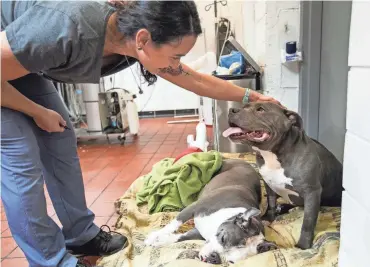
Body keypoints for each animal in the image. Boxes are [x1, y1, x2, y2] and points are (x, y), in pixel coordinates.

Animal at [145, 159, 278, 266]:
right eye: (223, 239)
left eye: (231, 262)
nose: (214, 257)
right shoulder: (194, 208)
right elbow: (174, 223)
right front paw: (154, 237)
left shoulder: (199, 232)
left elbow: (182, 237)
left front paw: (160, 241)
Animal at [223, 103, 344, 251]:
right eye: (245, 105)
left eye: (261, 109)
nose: (232, 110)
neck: (272, 155)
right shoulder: (269, 184)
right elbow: (271, 203)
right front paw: (269, 217)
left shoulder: (312, 192)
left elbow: (308, 222)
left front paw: (303, 246)